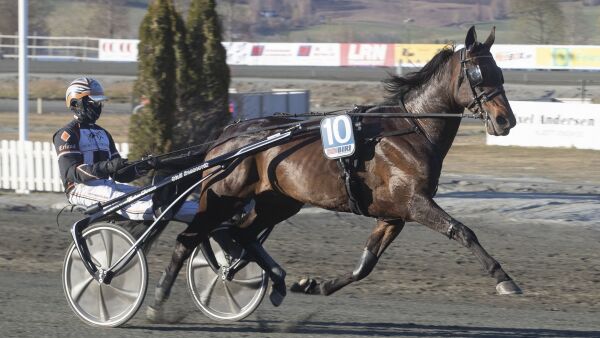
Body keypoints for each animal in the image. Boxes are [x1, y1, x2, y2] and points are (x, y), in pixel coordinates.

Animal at [146, 25, 520, 320]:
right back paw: (158, 300)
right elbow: (463, 231)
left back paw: (275, 279)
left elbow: (365, 265)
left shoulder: (392, 215)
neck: (412, 129)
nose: (506, 120)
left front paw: (316, 285)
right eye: (477, 74)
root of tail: (227, 135)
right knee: (190, 239)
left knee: (243, 235)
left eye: (500, 72)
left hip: (278, 201)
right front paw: (504, 279)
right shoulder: (415, 203)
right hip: (223, 196)